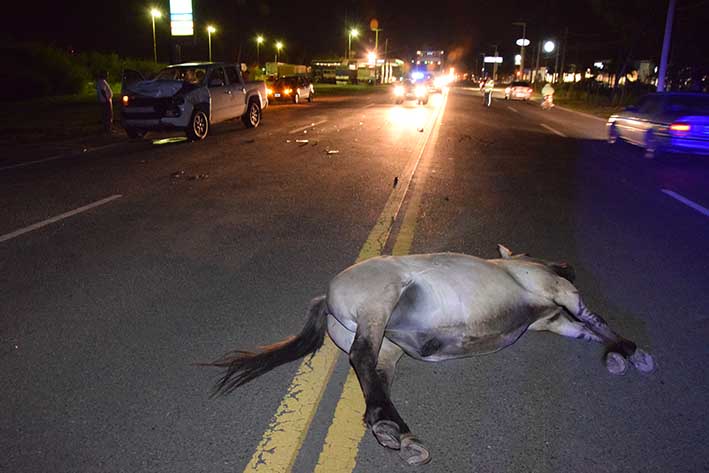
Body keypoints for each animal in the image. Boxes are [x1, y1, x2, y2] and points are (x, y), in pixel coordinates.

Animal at [205, 245, 652, 466]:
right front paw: (632, 352)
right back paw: (394, 430)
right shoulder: (560, 291)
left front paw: (617, 354)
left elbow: (586, 329)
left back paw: (397, 433)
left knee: (375, 376)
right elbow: (595, 318)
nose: (569, 265)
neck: (515, 267)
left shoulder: (554, 321)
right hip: (379, 307)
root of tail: (326, 297)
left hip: (387, 344)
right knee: (361, 358)